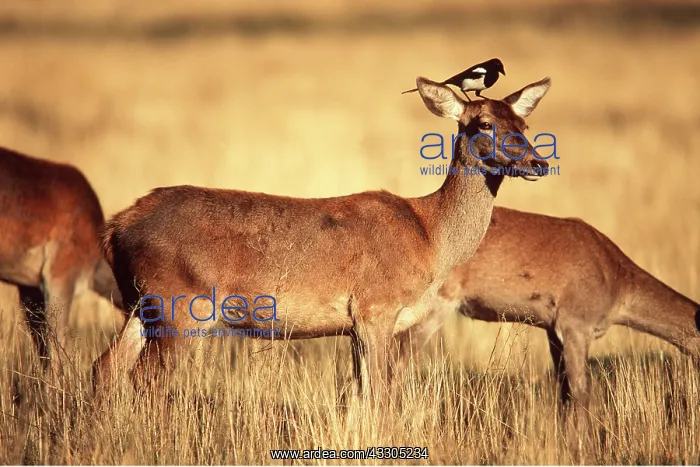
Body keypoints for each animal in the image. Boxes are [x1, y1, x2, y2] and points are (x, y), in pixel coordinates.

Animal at [91, 76, 552, 401]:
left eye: (526, 124)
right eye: (485, 123)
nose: (539, 163)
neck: (430, 237)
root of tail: (116, 226)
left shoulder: (355, 326)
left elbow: (359, 395)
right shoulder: (375, 307)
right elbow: (380, 395)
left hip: (141, 303)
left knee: (105, 367)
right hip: (181, 305)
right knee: (146, 379)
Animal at [395, 206, 700, 420]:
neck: (617, 281)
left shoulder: (553, 329)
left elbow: (564, 392)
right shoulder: (575, 324)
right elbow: (581, 393)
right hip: (435, 306)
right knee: (397, 361)